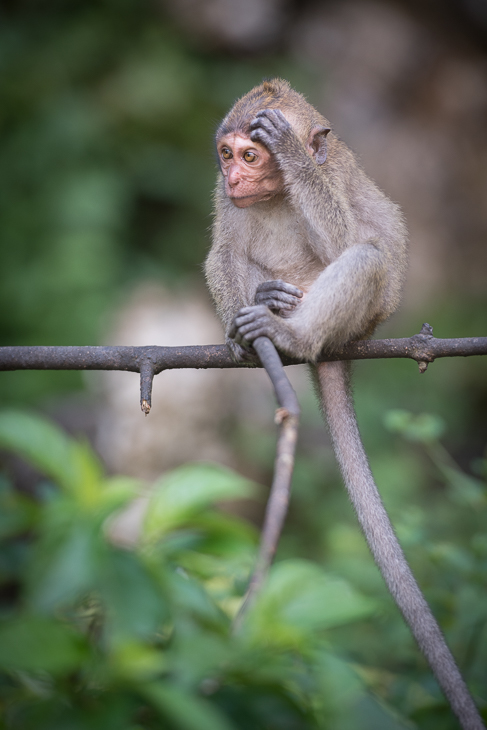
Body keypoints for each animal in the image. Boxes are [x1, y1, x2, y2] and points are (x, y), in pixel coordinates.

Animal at [205, 79, 484, 728]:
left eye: (251, 155)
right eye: (227, 157)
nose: (233, 176)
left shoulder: (334, 181)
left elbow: (357, 242)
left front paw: (295, 155)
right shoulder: (226, 205)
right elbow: (219, 255)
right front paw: (237, 321)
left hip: (357, 321)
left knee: (366, 259)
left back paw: (292, 337)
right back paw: (261, 312)